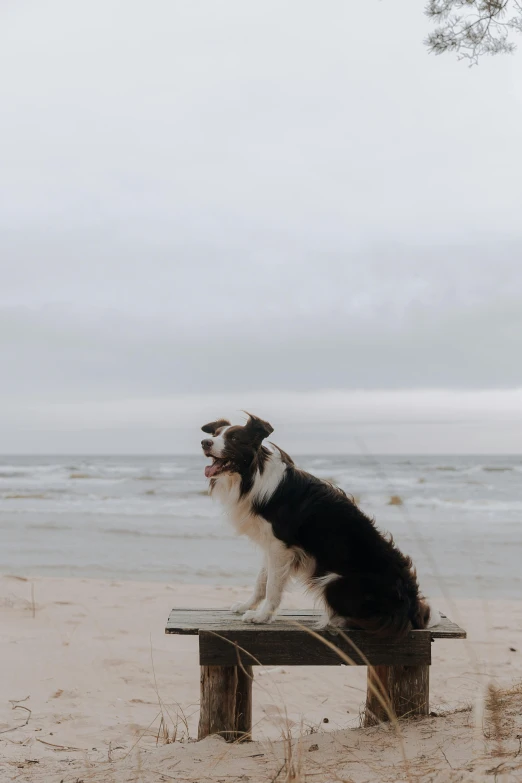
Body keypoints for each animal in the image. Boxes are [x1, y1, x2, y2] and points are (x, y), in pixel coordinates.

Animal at [199, 414, 434, 632]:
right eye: (215, 435)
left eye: (234, 438)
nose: (205, 443)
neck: (253, 475)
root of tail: (412, 606)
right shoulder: (271, 545)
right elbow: (261, 581)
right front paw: (247, 606)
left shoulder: (280, 546)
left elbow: (272, 586)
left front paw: (262, 617)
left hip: (333, 581)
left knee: (375, 621)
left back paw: (336, 620)